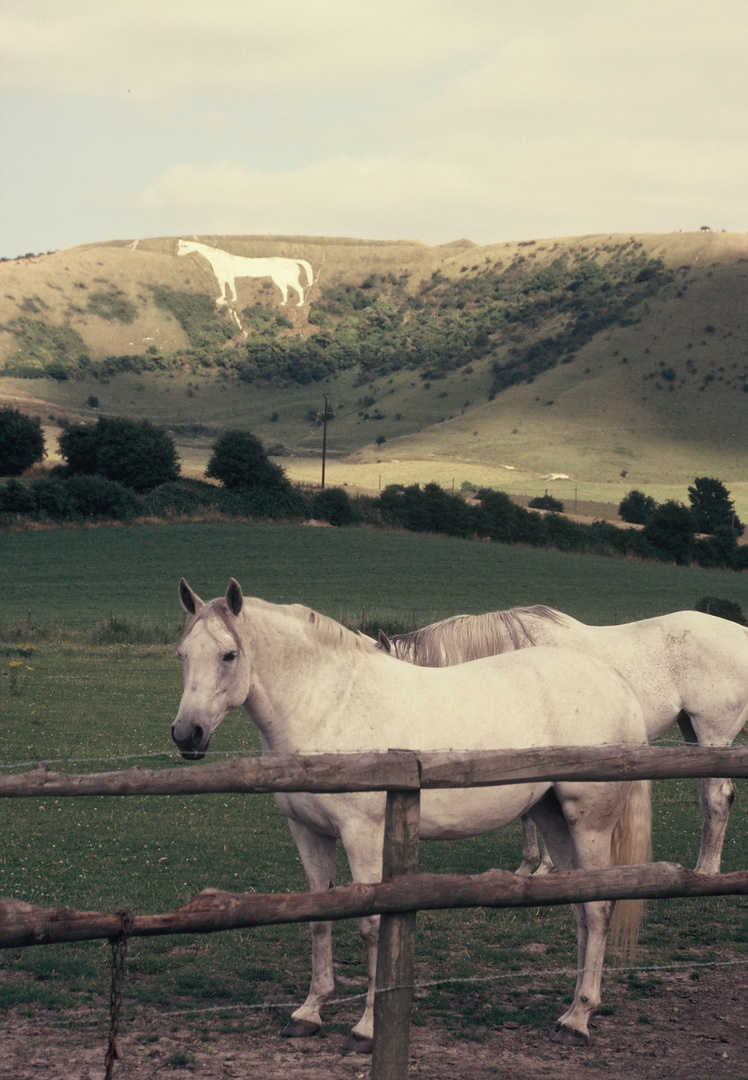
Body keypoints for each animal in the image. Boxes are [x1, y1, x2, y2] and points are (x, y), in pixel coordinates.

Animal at [171, 578, 651, 1049]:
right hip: (554, 820)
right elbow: (319, 917)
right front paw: (308, 1013)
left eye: (229, 655)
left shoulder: (362, 834)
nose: (186, 734)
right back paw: (569, 1010)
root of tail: (617, 684)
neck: (329, 706)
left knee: (598, 908)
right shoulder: (308, 832)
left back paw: (579, 1019)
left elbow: (370, 924)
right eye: (183, 654)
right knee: (580, 908)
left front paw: (366, 1028)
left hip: (589, 825)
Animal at [177, 236, 313, 304]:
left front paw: (228, 299)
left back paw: (300, 304)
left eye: (182, 246)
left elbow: (228, 287)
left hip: (289, 278)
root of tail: (294, 261)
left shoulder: (225, 276)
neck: (217, 257)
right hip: (279, 279)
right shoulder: (226, 277)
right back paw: (283, 303)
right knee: (285, 290)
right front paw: (229, 299)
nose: (177, 253)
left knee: (300, 289)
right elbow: (228, 287)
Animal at [379, 609, 746, 876]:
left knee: (718, 798)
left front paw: (541, 868)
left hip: (713, 734)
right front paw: (530, 866)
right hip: (694, 735)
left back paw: (707, 870)